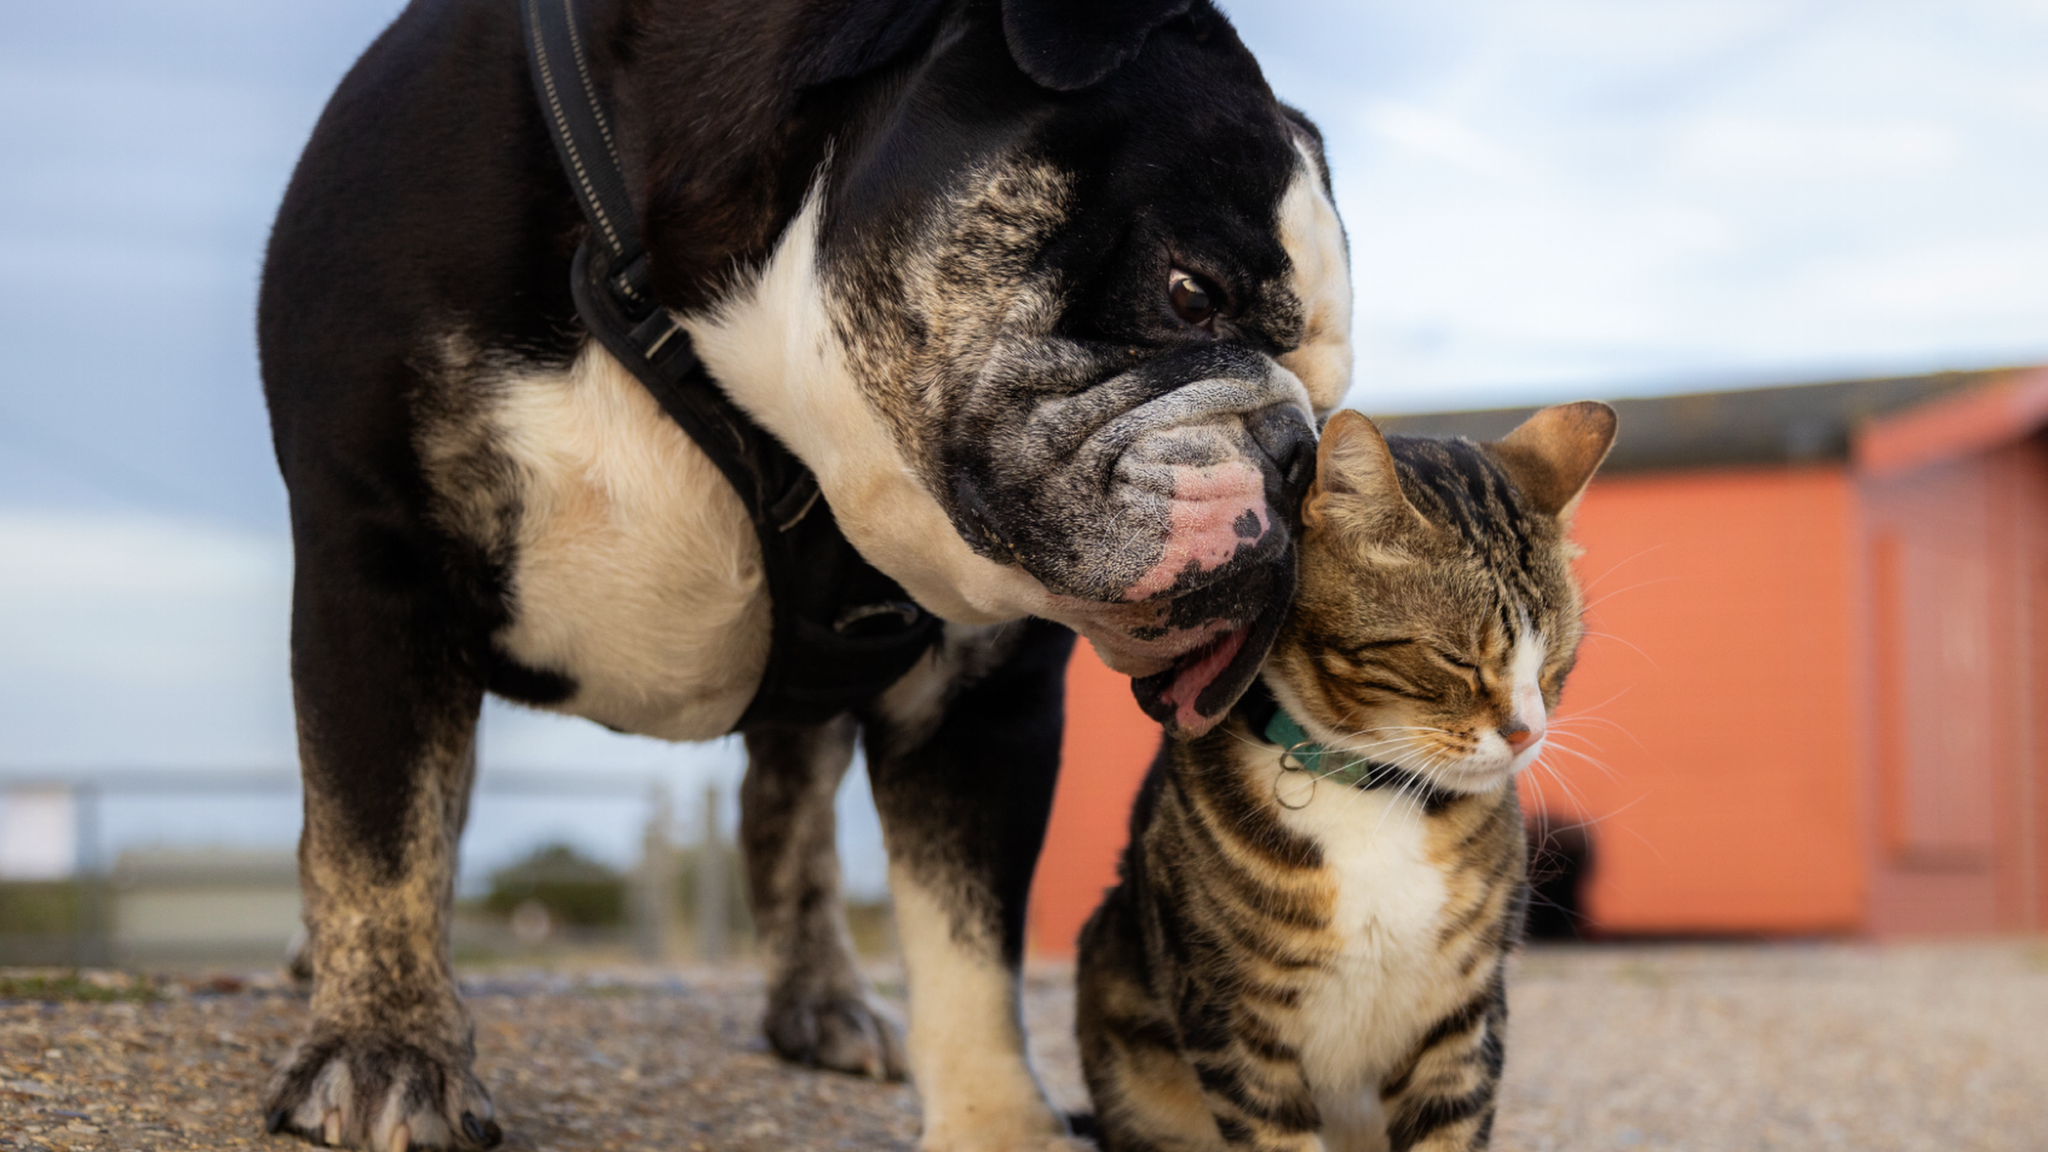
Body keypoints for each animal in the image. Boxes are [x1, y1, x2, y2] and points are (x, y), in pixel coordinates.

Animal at [1073, 399, 1613, 1139]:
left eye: (1556, 662)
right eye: (1456, 660)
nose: (1527, 733)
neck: (1376, 796)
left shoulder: (1464, 1014)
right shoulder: (1232, 1021)